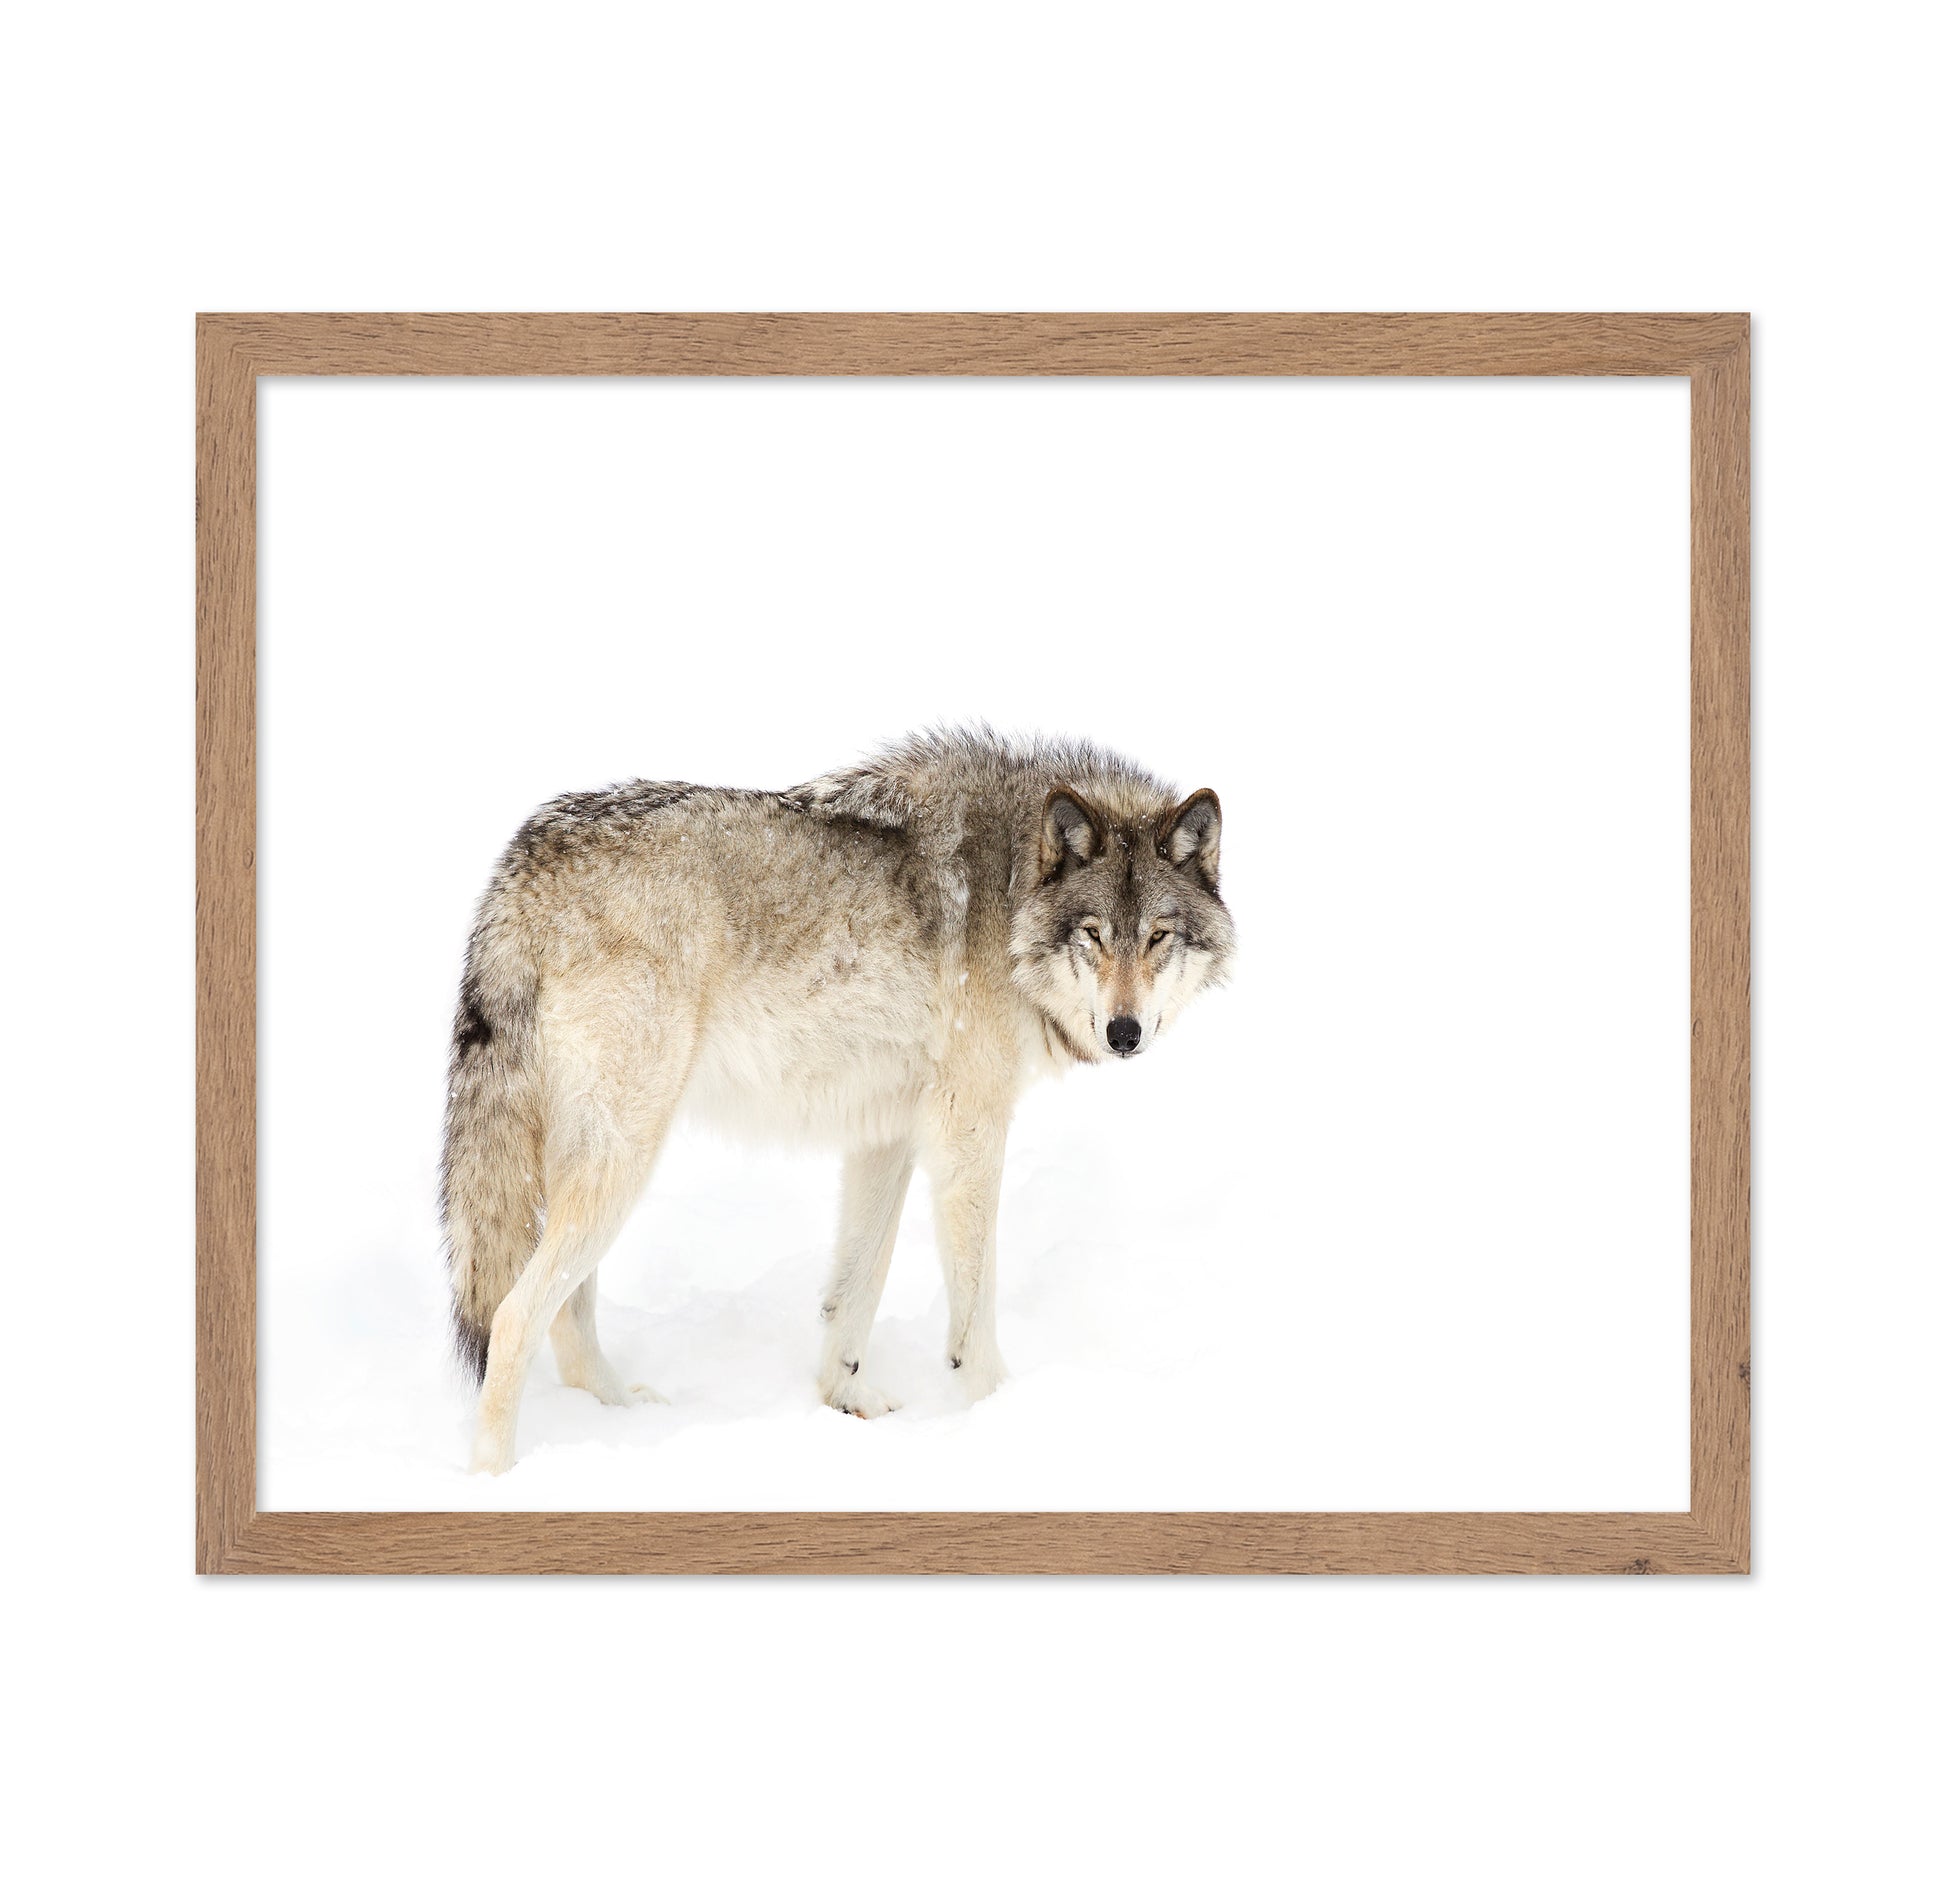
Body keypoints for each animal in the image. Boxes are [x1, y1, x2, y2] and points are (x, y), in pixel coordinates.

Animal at [441, 726, 1235, 1473]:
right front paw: (999, 1412)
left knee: (567, 1316)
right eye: (1093, 935)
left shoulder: (887, 1135)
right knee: (513, 1317)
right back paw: (495, 1476)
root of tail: (525, 857)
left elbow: (855, 1291)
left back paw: (620, 1416)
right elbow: (974, 1311)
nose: (1125, 1032)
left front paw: (843, 1398)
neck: (1011, 891)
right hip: (623, 1158)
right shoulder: (968, 1133)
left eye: (1158, 937)